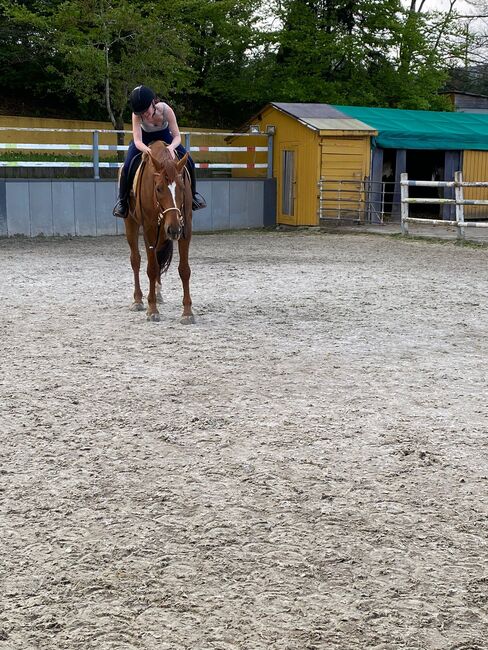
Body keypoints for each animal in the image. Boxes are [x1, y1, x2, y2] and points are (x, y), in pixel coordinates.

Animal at [123, 142, 195, 324]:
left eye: (182, 187)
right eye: (158, 188)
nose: (174, 228)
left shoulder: (186, 228)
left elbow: (184, 269)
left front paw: (187, 312)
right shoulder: (149, 229)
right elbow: (152, 268)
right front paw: (152, 309)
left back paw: (157, 292)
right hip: (131, 223)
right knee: (136, 260)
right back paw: (138, 300)